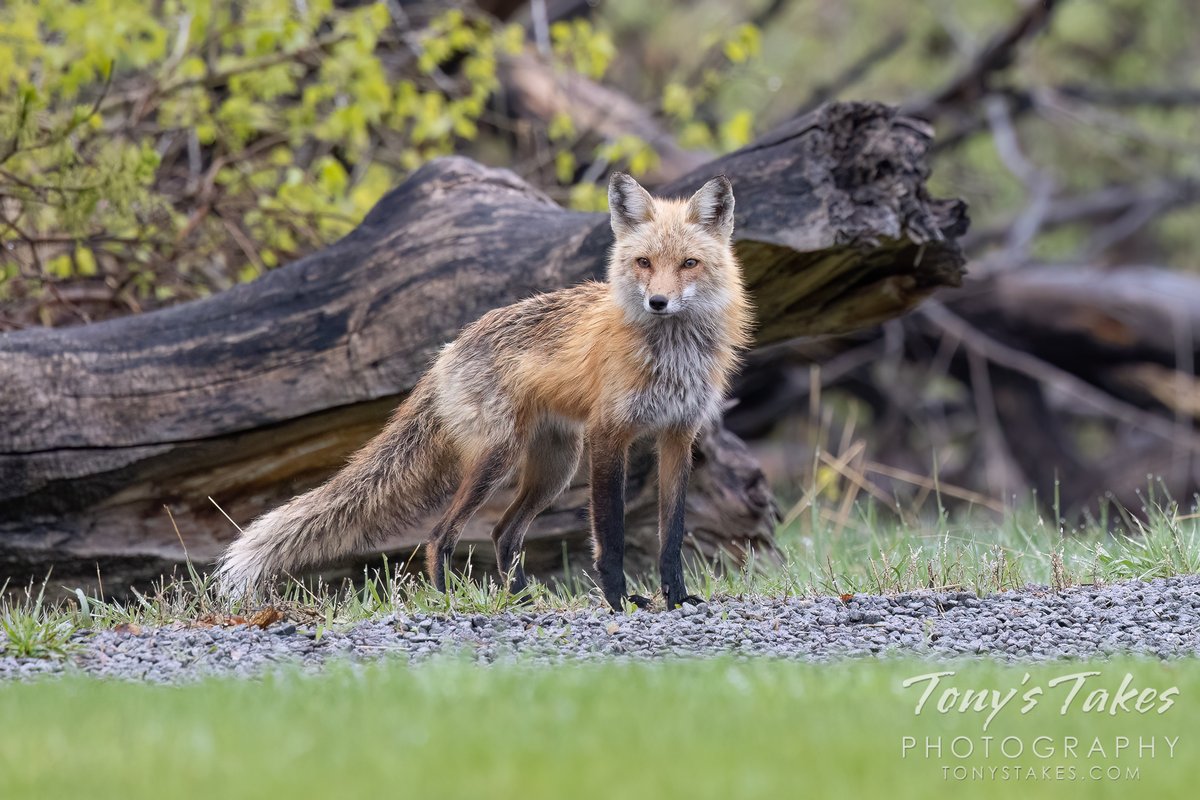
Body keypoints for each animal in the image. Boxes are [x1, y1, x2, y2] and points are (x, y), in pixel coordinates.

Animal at [211, 175, 744, 609]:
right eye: (643, 262)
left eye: (689, 264)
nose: (658, 302)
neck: (671, 358)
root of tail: (450, 348)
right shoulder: (609, 435)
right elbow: (610, 535)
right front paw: (617, 601)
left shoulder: (678, 436)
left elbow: (672, 535)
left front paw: (676, 597)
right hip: (500, 457)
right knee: (440, 535)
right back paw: (451, 598)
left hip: (554, 468)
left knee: (503, 533)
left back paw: (522, 601)